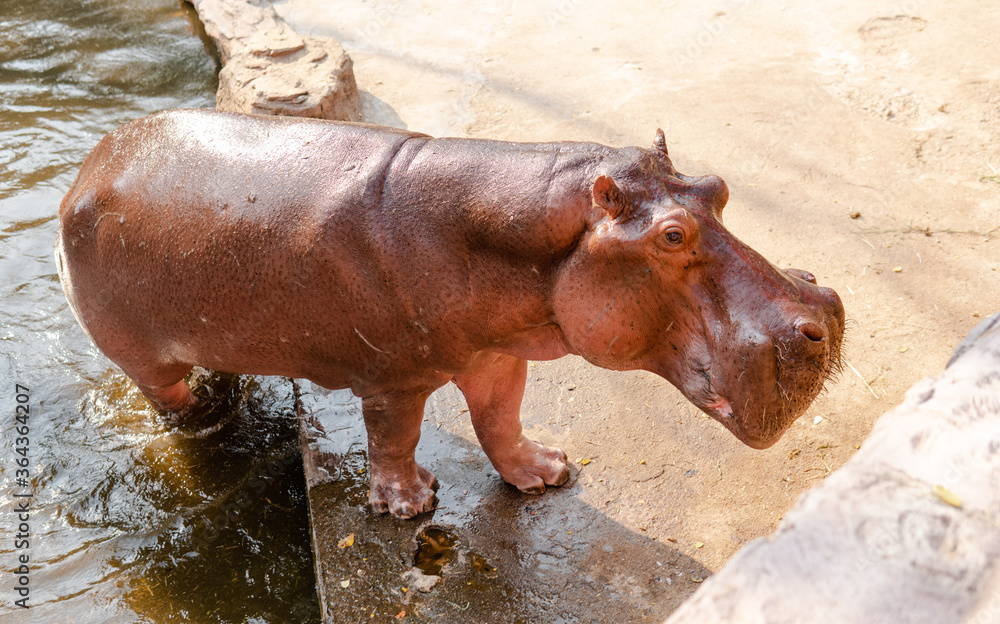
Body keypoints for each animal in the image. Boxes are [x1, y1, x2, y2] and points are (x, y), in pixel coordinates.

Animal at [56, 109, 844, 519]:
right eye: (671, 237)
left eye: (719, 187)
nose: (825, 318)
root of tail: (88, 167)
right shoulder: (394, 378)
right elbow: (395, 436)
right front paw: (408, 506)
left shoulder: (499, 354)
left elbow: (501, 421)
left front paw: (546, 473)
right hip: (140, 353)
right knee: (163, 391)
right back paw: (196, 420)